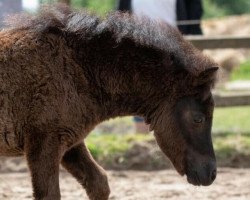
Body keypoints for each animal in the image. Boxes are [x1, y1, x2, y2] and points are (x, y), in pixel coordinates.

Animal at [0, 5, 217, 200]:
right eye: (198, 119)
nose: (211, 173)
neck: (75, 68)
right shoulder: (43, 144)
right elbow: (49, 194)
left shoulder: (70, 142)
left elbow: (98, 183)